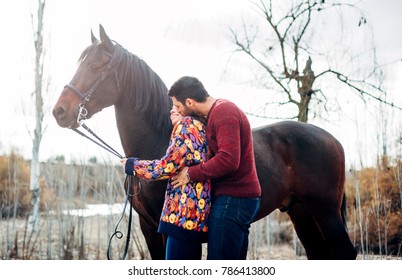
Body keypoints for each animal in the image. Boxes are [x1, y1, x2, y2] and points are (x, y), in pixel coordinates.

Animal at [51, 25, 356, 260]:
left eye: (94, 66)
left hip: (325, 213)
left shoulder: (168, 231)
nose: (59, 111)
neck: (157, 142)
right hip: (302, 212)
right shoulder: (148, 228)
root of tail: (334, 140)